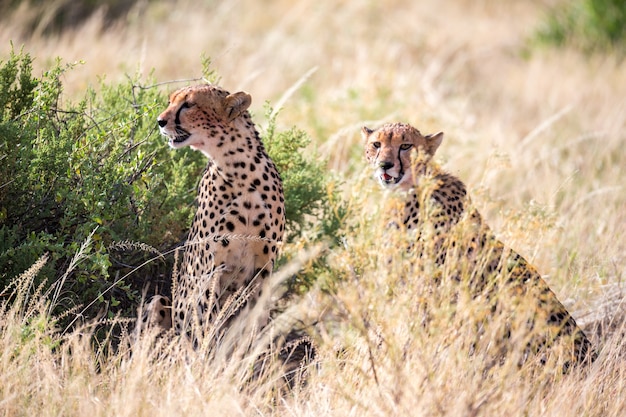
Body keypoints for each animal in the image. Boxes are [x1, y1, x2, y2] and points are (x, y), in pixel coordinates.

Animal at [155, 83, 284, 342]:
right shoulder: (209, 268)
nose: (160, 121)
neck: (239, 168)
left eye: (188, 104)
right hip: (160, 301)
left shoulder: (264, 266)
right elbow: (205, 321)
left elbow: (254, 320)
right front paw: (206, 351)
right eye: (170, 101)